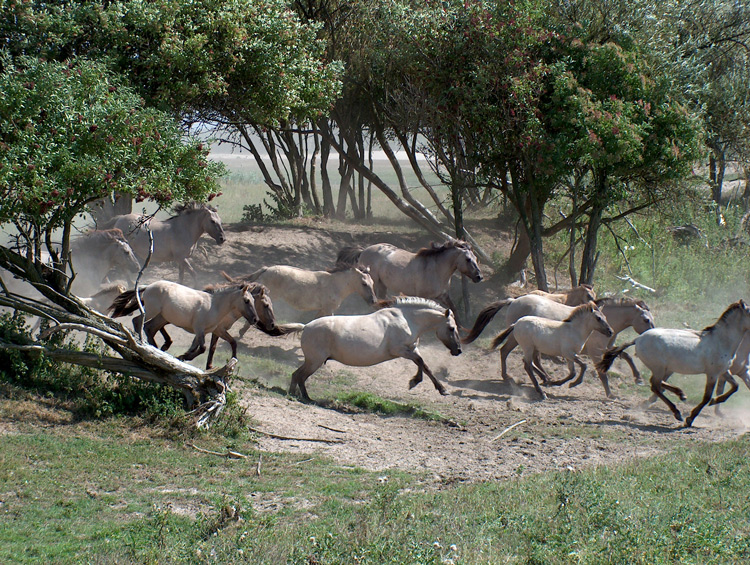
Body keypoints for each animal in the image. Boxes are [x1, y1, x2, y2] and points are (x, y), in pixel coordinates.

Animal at [107, 278, 258, 366]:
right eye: (246, 301)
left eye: (254, 300)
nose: (255, 319)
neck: (214, 305)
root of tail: (149, 286)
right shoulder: (199, 329)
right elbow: (202, 348)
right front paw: (183, 356)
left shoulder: (208, 331)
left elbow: (197, 347)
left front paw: (182, 357)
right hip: (151, 311)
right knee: (138, 321)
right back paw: (142, 343)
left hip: (160, 316)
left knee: (148, 327)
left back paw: (156, 348)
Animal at [290, 296, 462, 400]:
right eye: (452, 328)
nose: (458, 351)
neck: (406, 319)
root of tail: (305, 327)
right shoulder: (399, 350)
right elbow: (420, 362)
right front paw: (435, 387)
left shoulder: (412, 348)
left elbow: (424, 365)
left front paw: (422, 383)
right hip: (315, 361)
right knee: (300, 376)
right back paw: (304, 397)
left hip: (313, 361)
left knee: (296, 375)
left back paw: (295, 395)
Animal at [338, 240, 484, 324]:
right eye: (468, 259)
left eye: (476, 258)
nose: (479, 277)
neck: (436, 269)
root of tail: (363, 251)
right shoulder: (425, 297)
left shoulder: (443, 296)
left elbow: (454, 309)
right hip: (374, 283)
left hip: (382, 285)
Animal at [600, 300, 750, 424]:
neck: (721, 341)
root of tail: (638, 339)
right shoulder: (712, 374)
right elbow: (707, 397)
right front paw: (690, 419)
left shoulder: (723, 371)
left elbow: (735, 386)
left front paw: (716, 401)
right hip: (659, 367)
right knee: (655, 385)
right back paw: (677, 412)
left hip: (665, 368)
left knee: (657, 383)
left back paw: (680, 394)